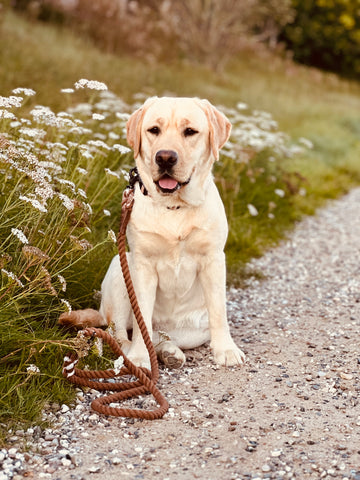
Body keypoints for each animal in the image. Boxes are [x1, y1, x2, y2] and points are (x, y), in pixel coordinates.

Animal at [59, 96, 245, 368]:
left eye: (190, 131)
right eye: (154, 130)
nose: (165, 158)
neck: (174, 206)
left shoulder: (213, 259)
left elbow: (219, 312)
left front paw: (226, 349)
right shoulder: (143, 266)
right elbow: (141, 322)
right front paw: (139, 356)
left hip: (194, 330)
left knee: (161, 336)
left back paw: (170, 352)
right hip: (120, 269)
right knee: (121, 332)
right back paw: (136, 354)